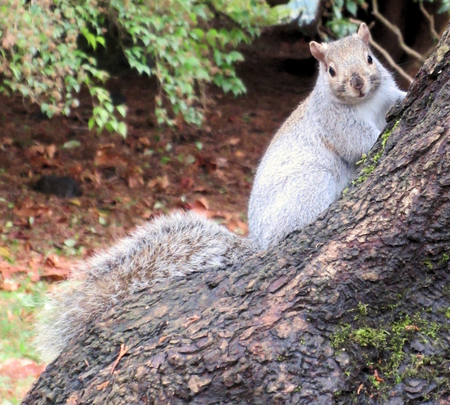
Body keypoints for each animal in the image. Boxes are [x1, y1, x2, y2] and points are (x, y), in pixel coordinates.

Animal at [248, 23, 406, 249]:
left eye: (369, 58)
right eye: (331, 70)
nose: (357, 83)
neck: (365, 102)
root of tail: (256, 241)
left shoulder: (389, 96)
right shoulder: (337, 123)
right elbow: (360, 142)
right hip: (310, 184)